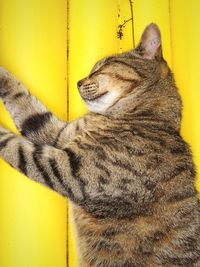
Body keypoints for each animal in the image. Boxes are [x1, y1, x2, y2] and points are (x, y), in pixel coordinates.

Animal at [0, 23, 200, 267]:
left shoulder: (70, 169)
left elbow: (16, 148)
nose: (78, 81)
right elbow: (24, 101)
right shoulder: (59, 134)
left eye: (102, 67)